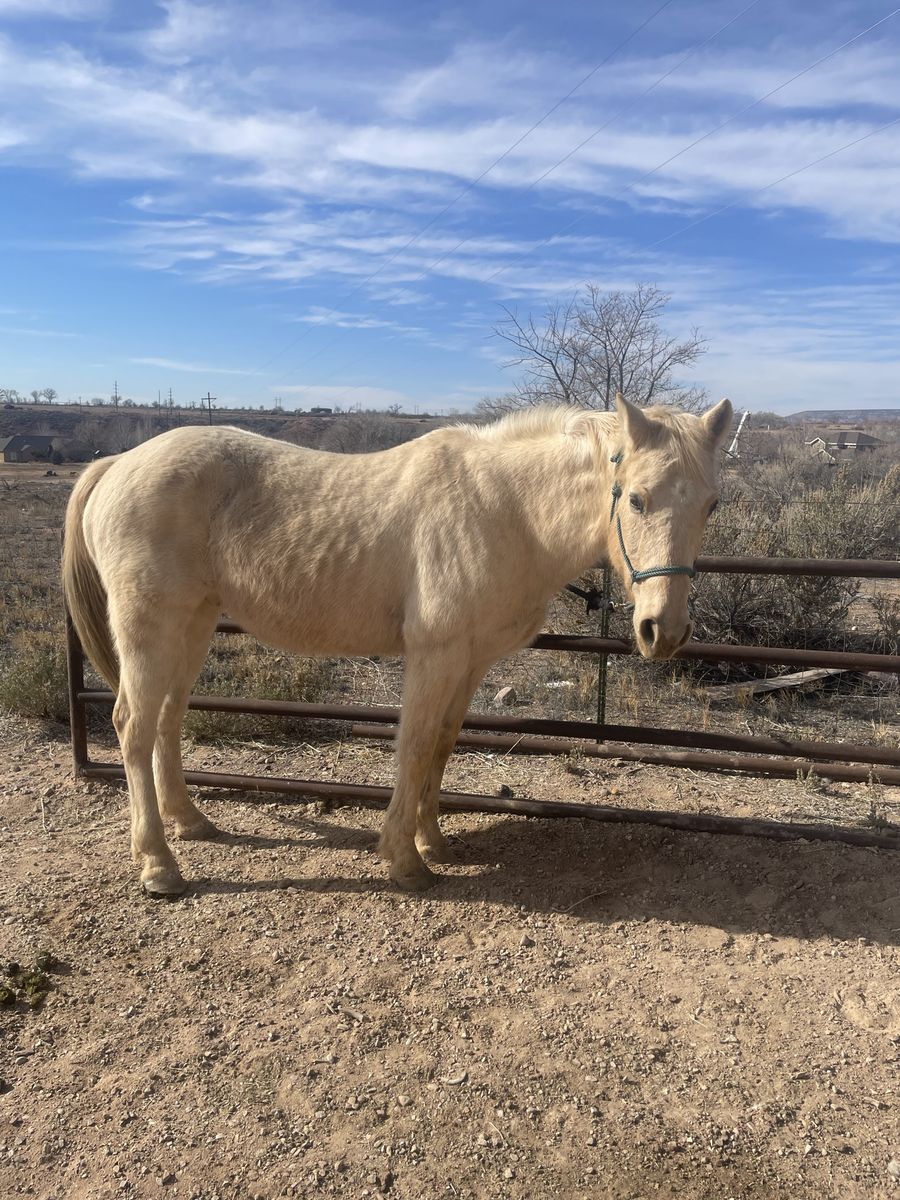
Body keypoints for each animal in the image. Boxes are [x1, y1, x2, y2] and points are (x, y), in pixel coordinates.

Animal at [62, 393, 732, 895]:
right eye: (636, 498)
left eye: (710, 505)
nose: (664, 631)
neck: (506, 509)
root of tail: (116, 463)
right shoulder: (435, 655)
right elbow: (412, 747)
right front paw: (405, 861)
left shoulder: (470, 660)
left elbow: (441, 746)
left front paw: (433, 840)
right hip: (150, 627)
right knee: (132, 725)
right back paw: (158, 866)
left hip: (194, 624)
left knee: (167, 720)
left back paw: (191, 823)